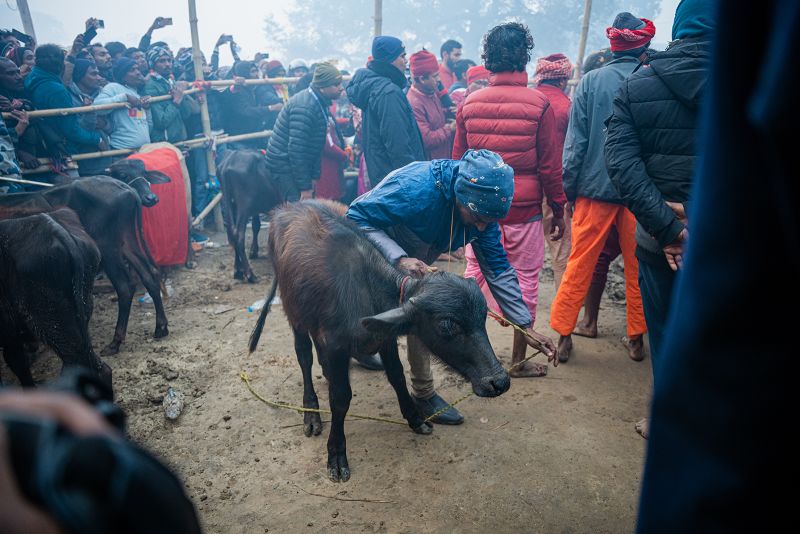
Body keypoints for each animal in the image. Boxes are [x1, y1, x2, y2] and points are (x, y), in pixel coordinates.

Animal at [0, 159, 169, 356]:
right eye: (124, 174)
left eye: (145, 172)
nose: (151, 198)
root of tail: (124, 189)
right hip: (126, 241)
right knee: (150, 274)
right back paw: (161, 327)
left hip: (108, 248)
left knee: (125, 286)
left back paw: (115, 342)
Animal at [217, 150, 282, 284]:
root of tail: (229, 161)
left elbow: (256, 226)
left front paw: (253, 251)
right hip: (244, 206)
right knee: (238, 234)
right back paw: (250, 274)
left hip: (230, 204)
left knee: (232, 233)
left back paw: (238, 270)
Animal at [250, 202, 510, 486]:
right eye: (447, 325)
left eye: (483, 317)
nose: (499, 381)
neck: (367, 291)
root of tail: (285, 208)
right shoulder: (335, 345)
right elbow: (341, 397)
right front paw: (336, 454)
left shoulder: (385, 338)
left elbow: (397, 376)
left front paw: (415, 418)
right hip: (294, 312)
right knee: (304, 356)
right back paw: (311, 413)